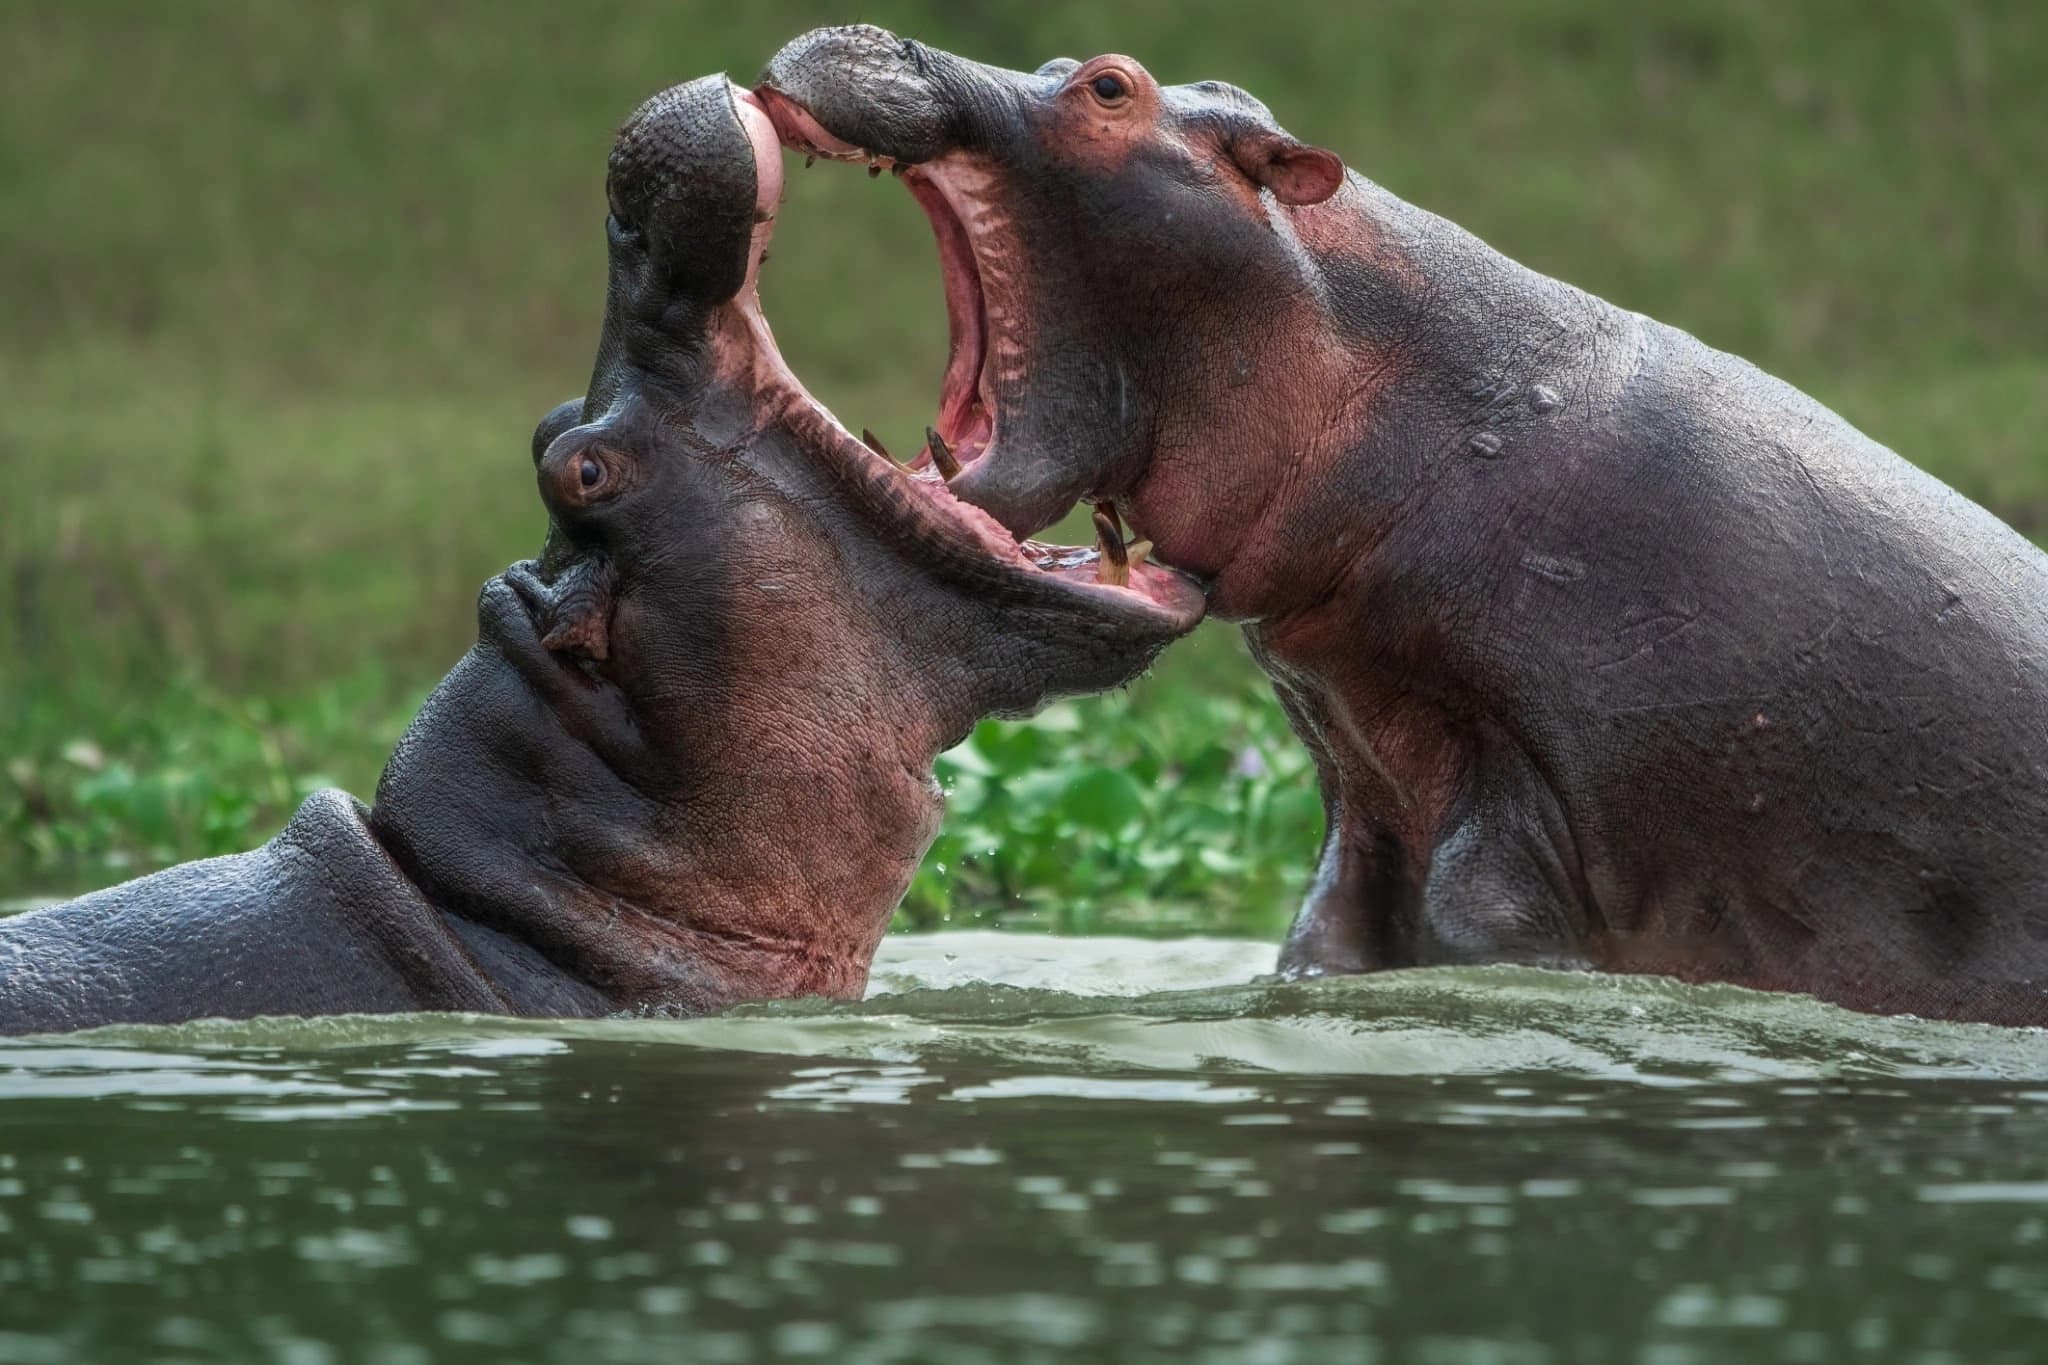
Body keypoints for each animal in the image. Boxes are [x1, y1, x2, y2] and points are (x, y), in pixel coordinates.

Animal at [758, 27, 2048, 1026]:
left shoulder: (1522, 785)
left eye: (1109, 88)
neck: (1396, 365)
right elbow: (1323, 936)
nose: (871, 34)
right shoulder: (1370, 776)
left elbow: (1476, 919)